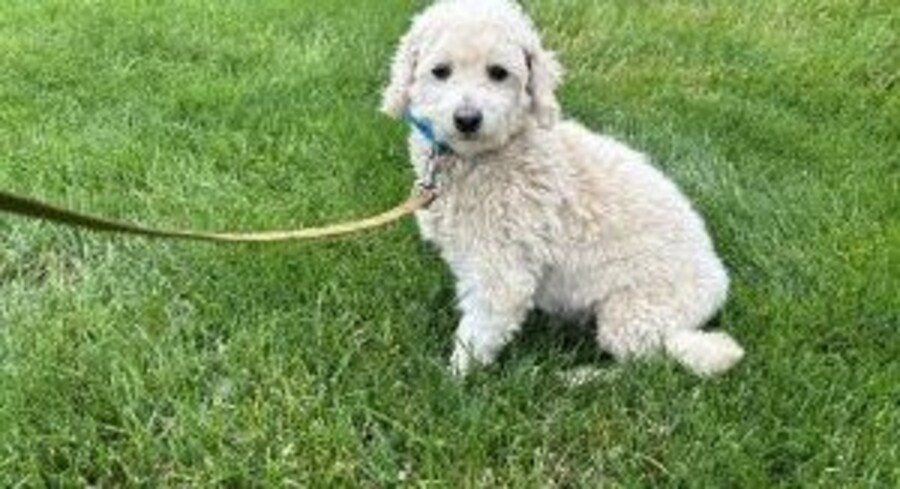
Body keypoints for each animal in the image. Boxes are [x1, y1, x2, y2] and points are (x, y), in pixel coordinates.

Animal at [381, 0, 745, 377]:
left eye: (498, 72)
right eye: (440, 71)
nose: (467, 119)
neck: (487, 156)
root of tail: (718, 285)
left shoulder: (502, 274)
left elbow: (477, 334)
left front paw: (454, 379)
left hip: (631, 313)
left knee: (644, 363)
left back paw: (580, 376)